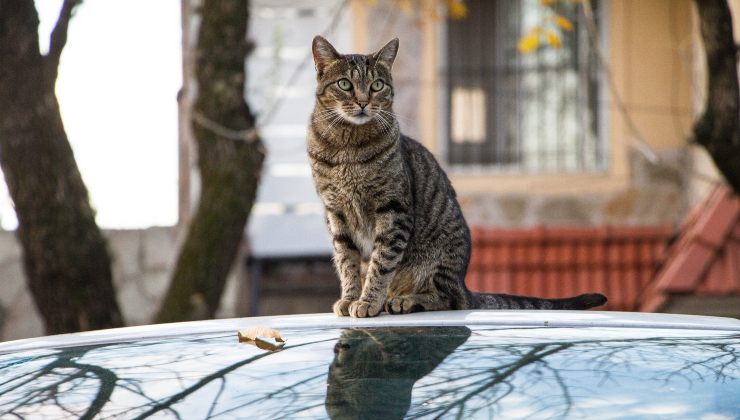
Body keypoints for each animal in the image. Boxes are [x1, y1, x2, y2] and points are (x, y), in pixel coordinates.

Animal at [306, 36, 608, 316]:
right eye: (345, 84)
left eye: (377, 85)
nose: (363, 102)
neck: (347, 147)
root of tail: (464, 286)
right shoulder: (336, 214)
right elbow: (347, 262)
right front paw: (350, 298)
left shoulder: (393, 209)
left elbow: (381, 264)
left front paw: (368, 301)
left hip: (441, 257)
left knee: (447, 299)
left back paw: (405, 300)